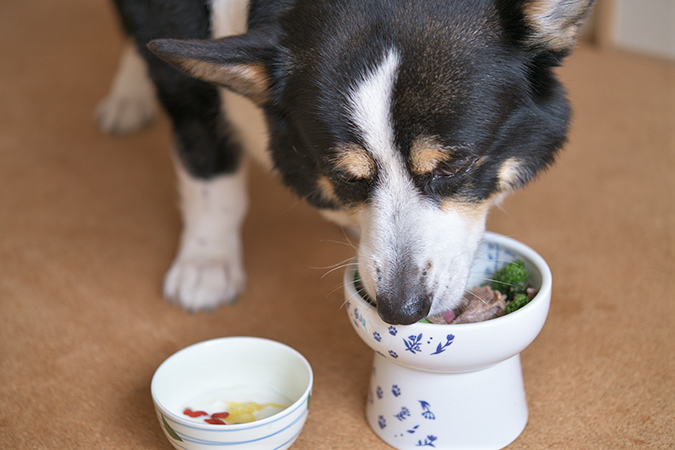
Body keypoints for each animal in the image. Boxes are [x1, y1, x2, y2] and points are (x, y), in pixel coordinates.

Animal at [97, 0, 596, 324]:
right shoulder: (186, 87)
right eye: (344, 175)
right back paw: (127, 94)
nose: (401, 312)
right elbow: (211, 176)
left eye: (453, 168)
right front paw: (206, 263)